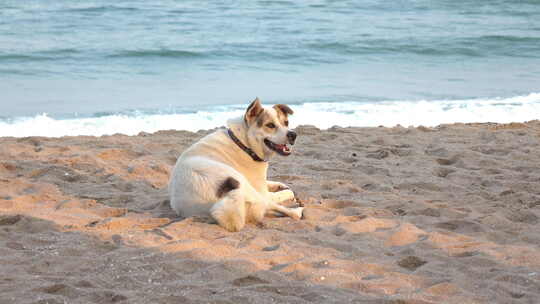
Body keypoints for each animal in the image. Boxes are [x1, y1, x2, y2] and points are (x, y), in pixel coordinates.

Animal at [169, 98, 304, 232]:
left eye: (286, 123)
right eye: (270, 125)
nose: (293, 135)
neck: (243, 143)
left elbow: (271, 182)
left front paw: (281, 185)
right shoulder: (262, 191)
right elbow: (286, 192)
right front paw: (287, 191)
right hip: (247, 187)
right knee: (280, 208)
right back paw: (298, 209)